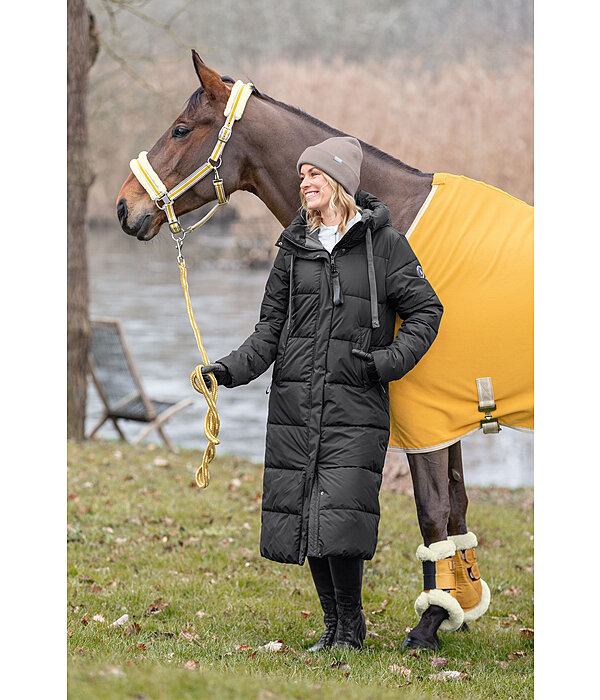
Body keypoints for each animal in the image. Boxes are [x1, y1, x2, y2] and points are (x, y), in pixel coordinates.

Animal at [117, 50, 536, 652]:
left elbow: (434, 514)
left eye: (179, 128)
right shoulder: (450, 417)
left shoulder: (427, 416)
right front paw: (457, 607)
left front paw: (429, 625)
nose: (124, 207)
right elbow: (456, 508)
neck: (397, 213)